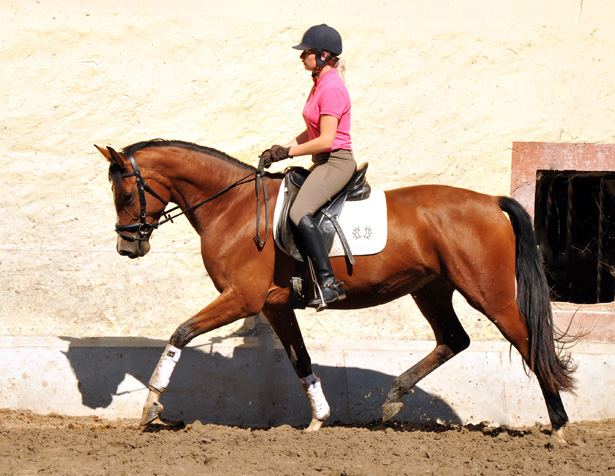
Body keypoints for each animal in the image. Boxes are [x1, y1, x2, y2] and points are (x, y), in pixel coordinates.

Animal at [97, 139, 576, 440]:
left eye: (126, 193)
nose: (127, 247)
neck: (232, 208)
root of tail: (490, 201)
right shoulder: (274, 306)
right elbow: (300, 359)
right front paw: (319, 419)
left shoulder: (241, 298)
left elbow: (180, 332)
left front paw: (150, 407)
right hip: (431, 288)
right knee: (454, 339)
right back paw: (393, 399)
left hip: (488, 292)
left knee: (529, 342)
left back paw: (558, 425)